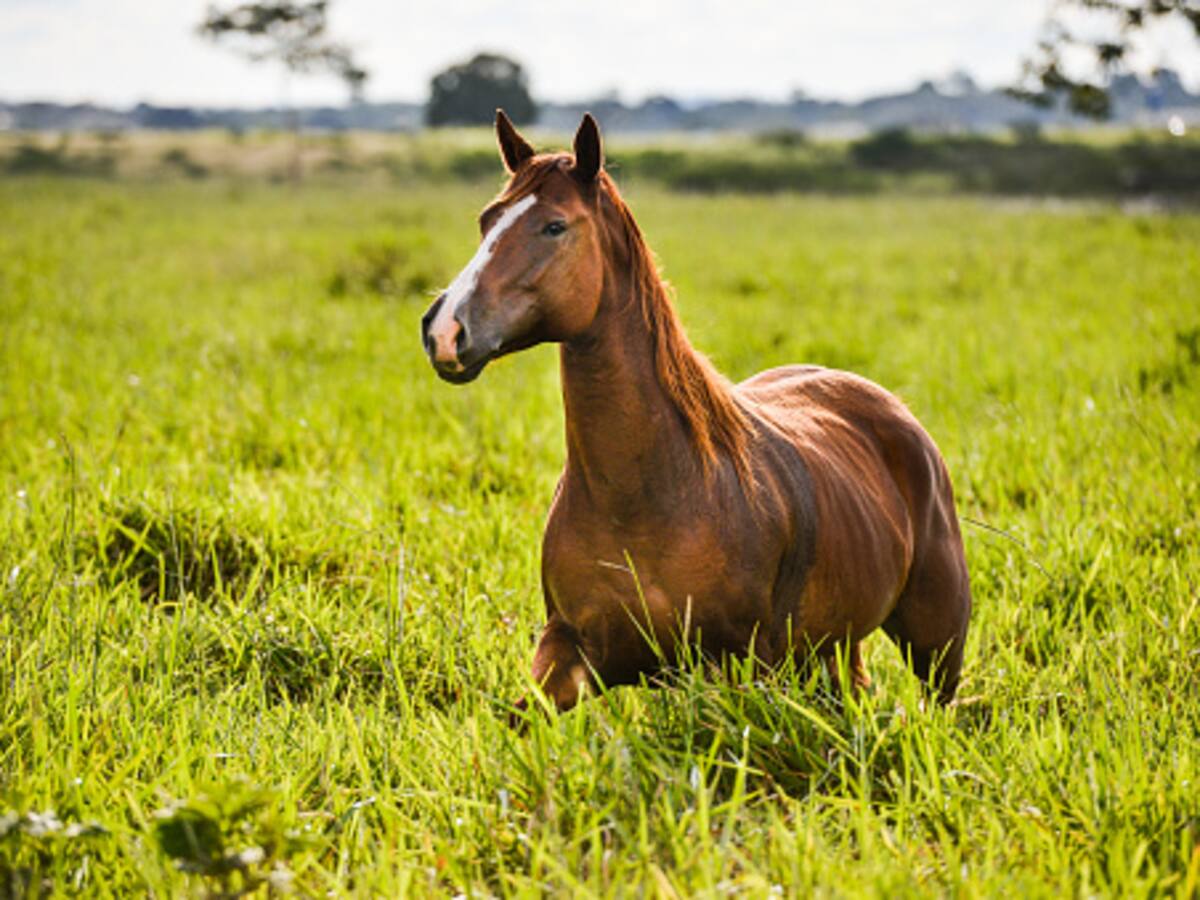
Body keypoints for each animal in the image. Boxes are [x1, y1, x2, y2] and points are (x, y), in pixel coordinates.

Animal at [420, 111, 971, 712]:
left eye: (554, 227)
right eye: (487, 220)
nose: (444, 331)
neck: (650, 493)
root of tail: (889, 407)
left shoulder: (740, 664)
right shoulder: (567, 650)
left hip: (935, 644)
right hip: (831, 649)